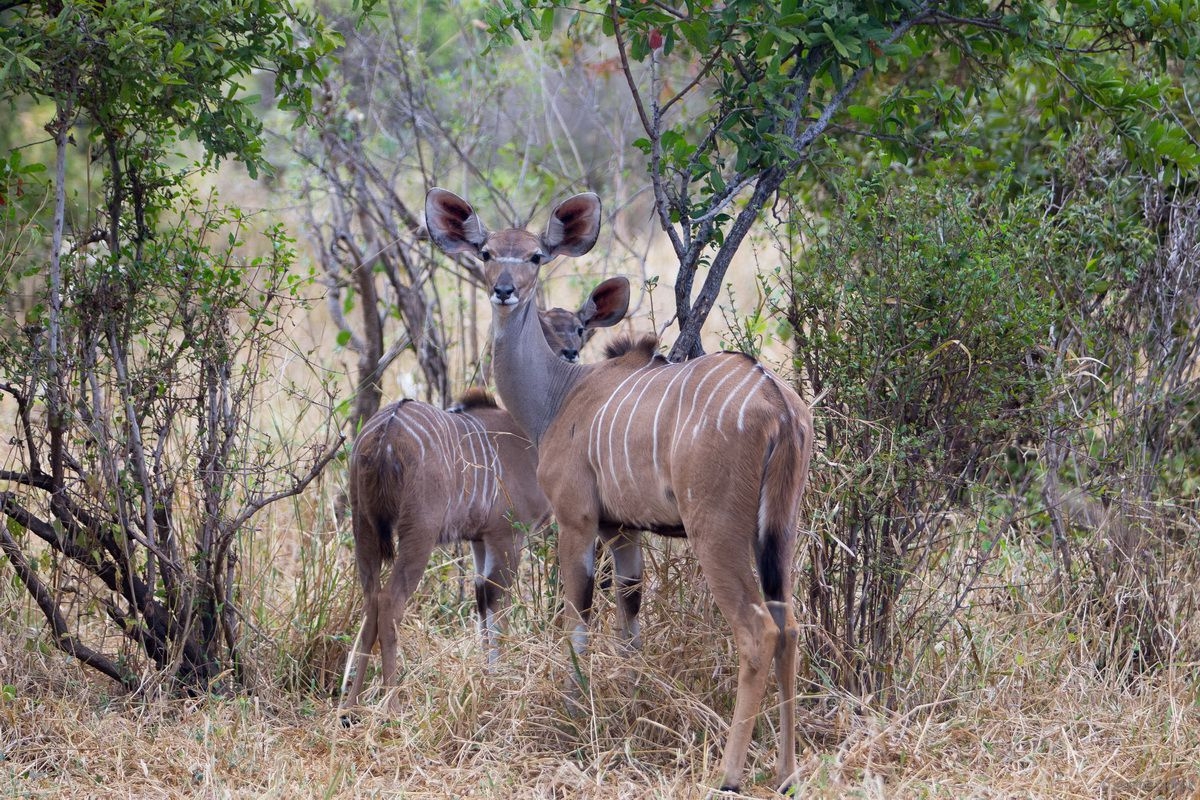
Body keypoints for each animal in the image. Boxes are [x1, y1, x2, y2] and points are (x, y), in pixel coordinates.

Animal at [340, 309, 592, 714]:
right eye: (543, 327)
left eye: (579, 328)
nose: (570, 353)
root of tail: (385, 434)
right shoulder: (507, 535)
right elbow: (497, 605)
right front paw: (498, 682)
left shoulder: (479, 540)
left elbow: (481, 604)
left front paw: (489, 676)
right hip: (418, 533)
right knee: (390, 602)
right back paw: (393, 704)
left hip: (363, 526)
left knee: (370, 601)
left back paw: (349, 707)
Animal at [424, 188, 816, 796]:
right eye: (486, 252)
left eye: (536, 256)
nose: (505, 290)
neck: (562, 396)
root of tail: (776, 401)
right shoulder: (626, 532)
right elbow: (629, 625)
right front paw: (630, 708)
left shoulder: (577, 521)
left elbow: (578, 617)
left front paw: (573, 716)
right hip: (780, 529)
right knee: (791, 626)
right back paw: (787, 773)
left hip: (716, 529)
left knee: (758, 631)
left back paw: (729, 775)